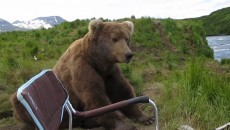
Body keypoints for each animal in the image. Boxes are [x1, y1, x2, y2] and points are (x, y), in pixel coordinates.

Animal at [11, 19, 154, 130]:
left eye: (127, 38)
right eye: (115, 38)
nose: (128, 54)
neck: (97, 60)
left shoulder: (109, 72)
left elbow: (121, 91)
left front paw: (145, 117)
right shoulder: (82, 67)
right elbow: (96, 98)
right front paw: (125, 125)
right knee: (18, 105)